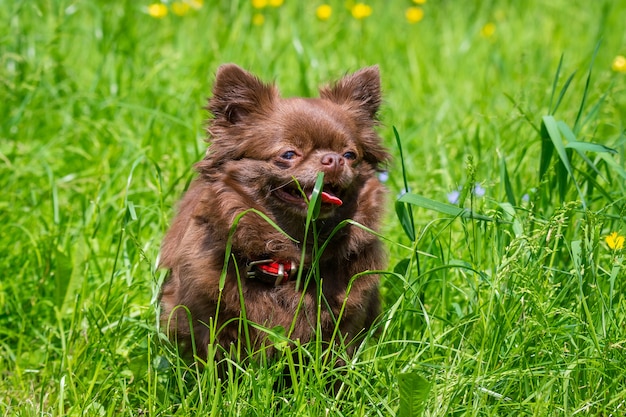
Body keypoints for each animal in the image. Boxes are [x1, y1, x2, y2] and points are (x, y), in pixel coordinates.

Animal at [158, 63, 388, 362]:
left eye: (350, 155)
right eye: (289, 154)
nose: (335, 159)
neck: (288, 255)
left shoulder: (346, 325)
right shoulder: (207, 319)